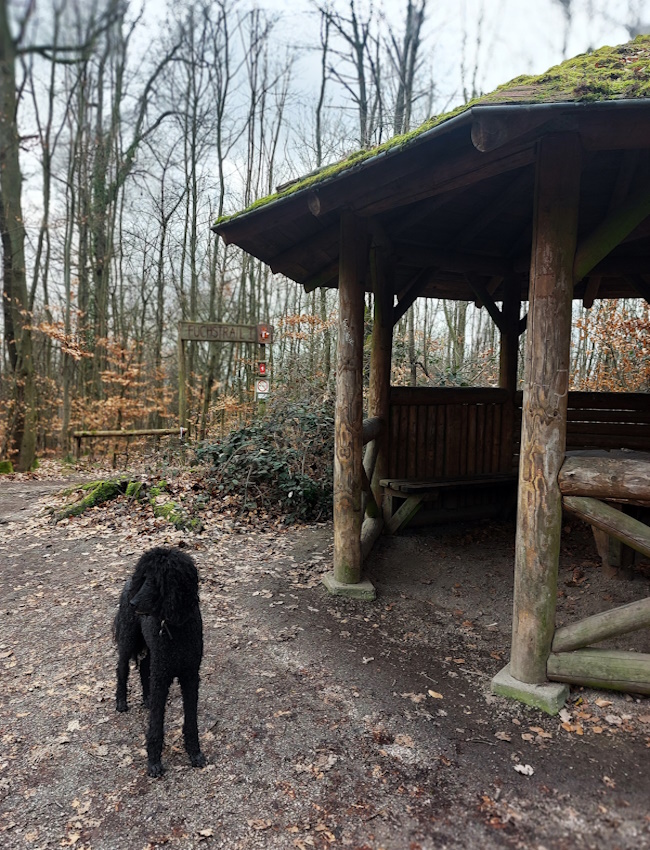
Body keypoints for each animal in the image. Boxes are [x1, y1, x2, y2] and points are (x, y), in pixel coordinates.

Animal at [114, 544, 205, 776]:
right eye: (144, 577)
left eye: (157, 581)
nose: (133, 603)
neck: (176, 628)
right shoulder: (162, 677)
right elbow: (156, 723)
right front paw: (154, 761)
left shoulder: (190, 675)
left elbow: (191, 719)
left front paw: (194, 752)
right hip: (128, 639)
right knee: (121, 669)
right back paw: (121, 701)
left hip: (150, 650)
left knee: (144, 668)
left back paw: (146, 698)